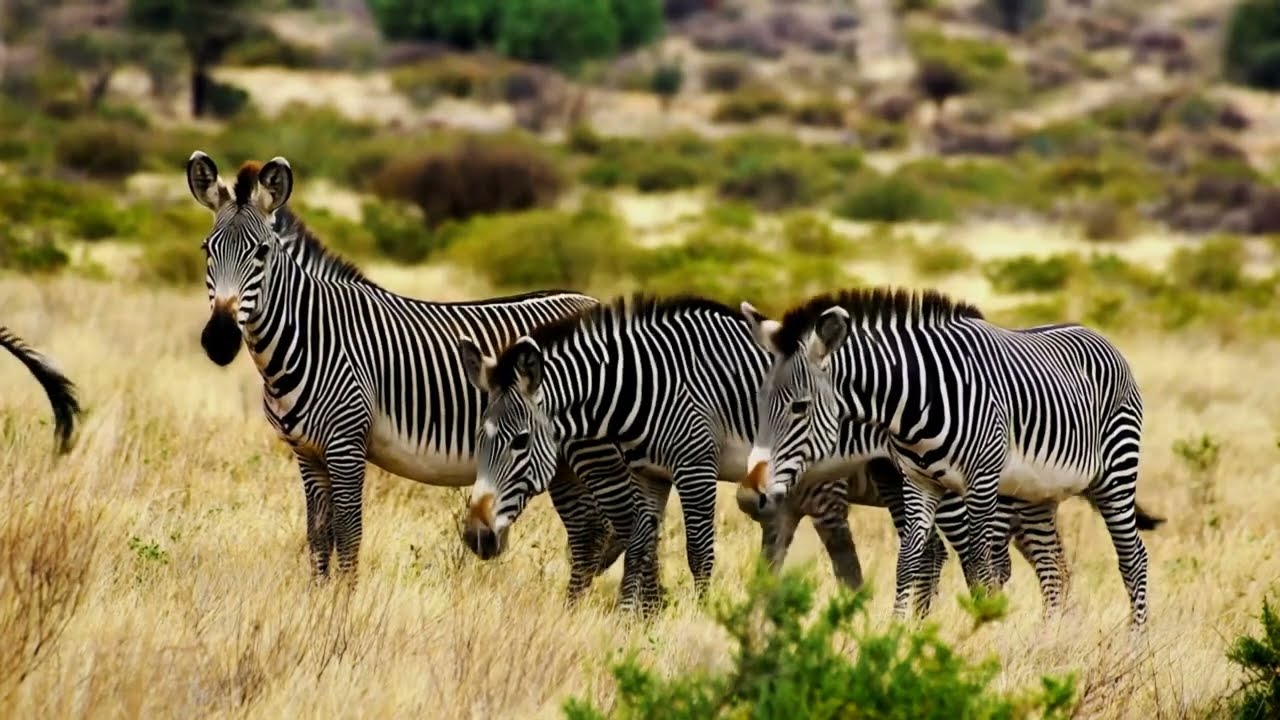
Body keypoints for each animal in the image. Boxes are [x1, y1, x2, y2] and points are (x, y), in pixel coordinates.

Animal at [185, 150, 650, 597]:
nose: (220, 339)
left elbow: (348, 534)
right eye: (206, 249)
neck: (310, 336)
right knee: (590, 531)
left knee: (613, 526)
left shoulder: (346, 445)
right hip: (561, 461)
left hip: (592, 452)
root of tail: (594, 302)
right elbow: (318, 536)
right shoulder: (308, 453)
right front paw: (315, 603)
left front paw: (342, 608)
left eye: (262, 253)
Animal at [455, 293, 1081, 613]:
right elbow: (641, 545)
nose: (475, 536)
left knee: (979, 558)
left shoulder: (695, 463)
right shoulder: (651, 473)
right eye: (479, 438)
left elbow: (698, 552)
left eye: (517, 442)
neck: (645, 382)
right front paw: (636, 620)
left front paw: (703, 619)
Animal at [740, 287, 1156, 630]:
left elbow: (980, 566)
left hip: (1116, 473)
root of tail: (1098, 335)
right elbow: (908, 562)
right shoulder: (918, 484)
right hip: (1038, 493)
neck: (912, 403)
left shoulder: (981, 483)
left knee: (1133, 558)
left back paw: (1135, 642)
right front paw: (895, 633)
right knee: (1054, 567)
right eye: (756, 401)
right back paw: (1049, 640)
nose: (747, 496)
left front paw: (985, 633)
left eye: (799, 407)